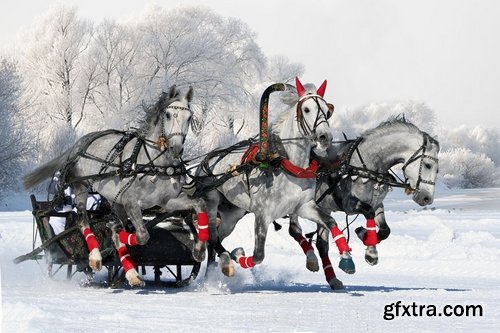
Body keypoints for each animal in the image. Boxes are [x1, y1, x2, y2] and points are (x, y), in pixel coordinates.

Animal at [22, 85, 207, 286]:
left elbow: (199, 204)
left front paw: (199, 249)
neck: (153, 164)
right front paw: (113, 237)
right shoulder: (131, 202)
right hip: (81, 185)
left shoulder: (167, 201)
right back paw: (96, 257)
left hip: (114, 199)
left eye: (189, 116)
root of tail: (78, 144)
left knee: (118, 225)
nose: (175, 149)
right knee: (82, 219)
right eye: (167, 114)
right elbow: (142, 235)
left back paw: (131, 271)